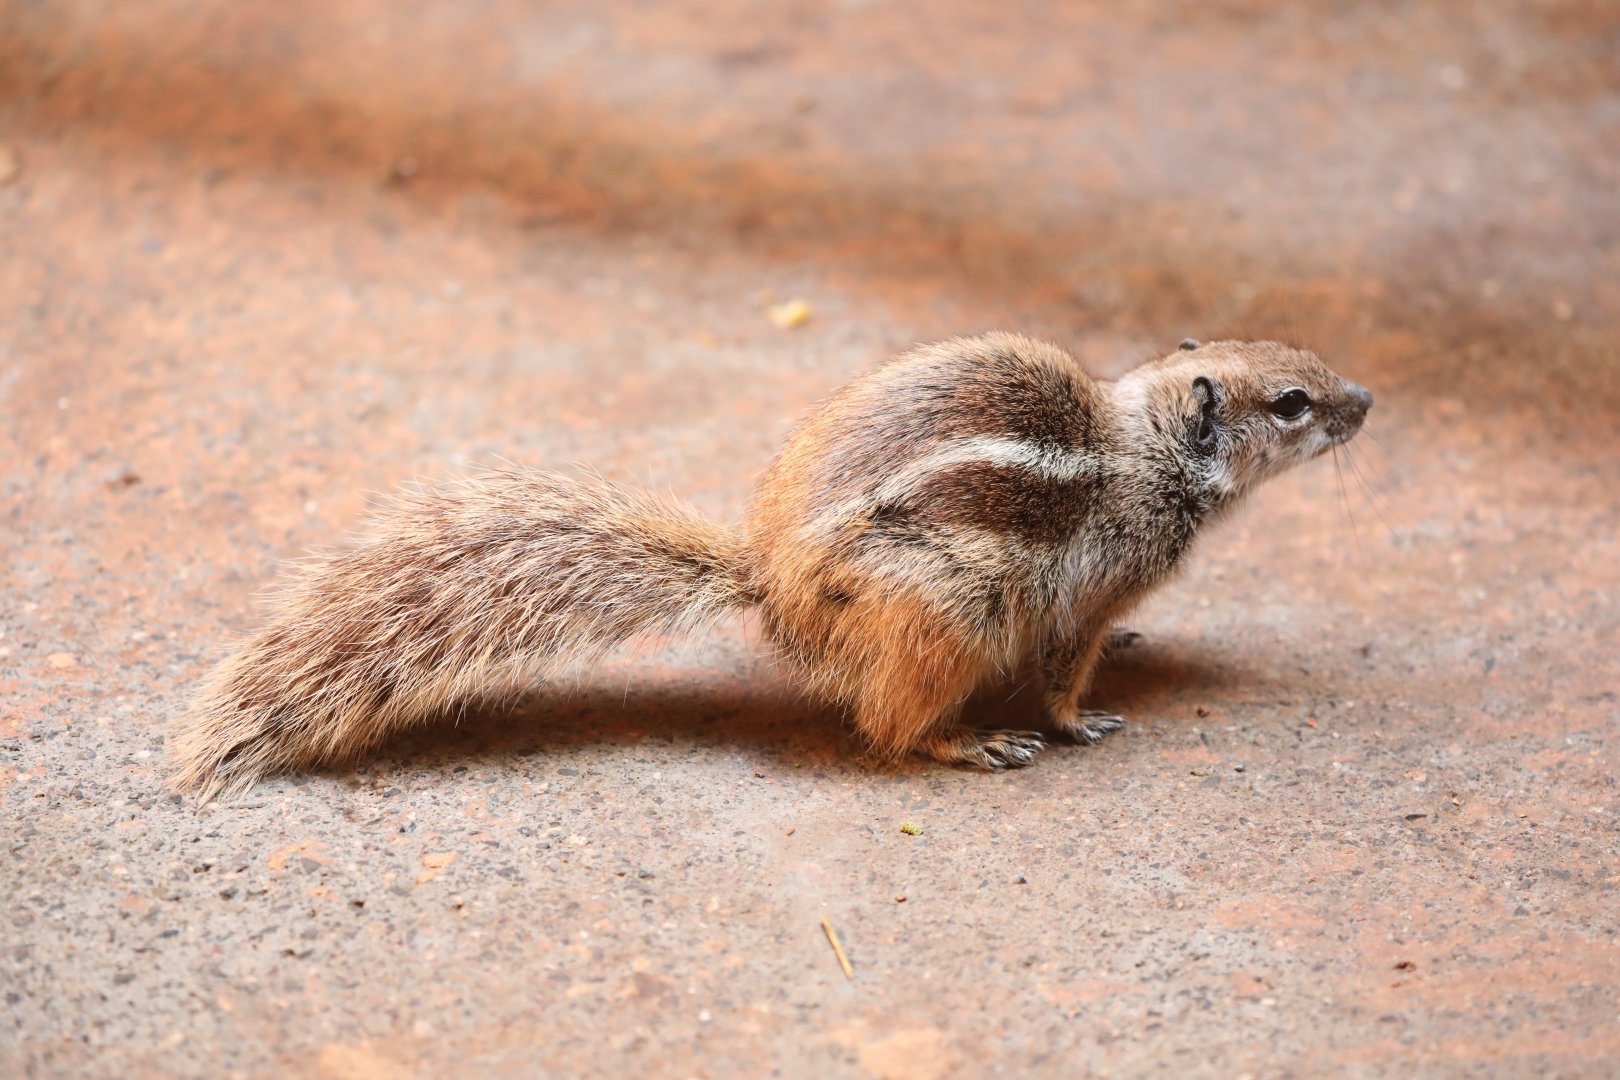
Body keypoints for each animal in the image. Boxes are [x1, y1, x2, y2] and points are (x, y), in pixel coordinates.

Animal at [172, 332, 1372, 798]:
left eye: (1302, 362)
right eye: (1292, 404)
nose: (1366, 400)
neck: (1142, 448)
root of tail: (771, 584)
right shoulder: (1088, 577)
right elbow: (1067, 670)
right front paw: (1082, 720)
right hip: (949, 609)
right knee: (890, 725)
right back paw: (973, 741)